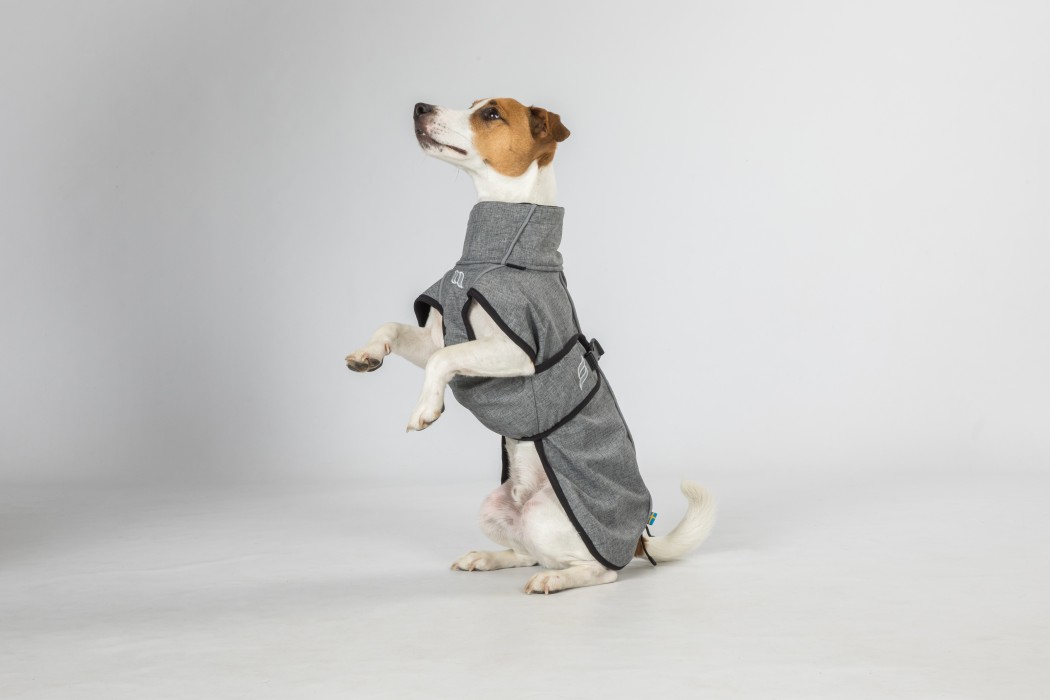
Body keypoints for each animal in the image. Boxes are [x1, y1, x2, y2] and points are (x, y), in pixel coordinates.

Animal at [346, 98, 716, 594]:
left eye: (491, 114)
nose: (420, 107)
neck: (494, 254)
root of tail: (639, 538)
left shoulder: (514, 353)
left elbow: (445, 358)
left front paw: (425, 409)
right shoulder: (432, 336)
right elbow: (394, 329)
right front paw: (366, 356)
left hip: (549, 516)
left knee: (598, 570)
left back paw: (556, 581)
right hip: (493, 507)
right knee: (527, 553)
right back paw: (486, 558)